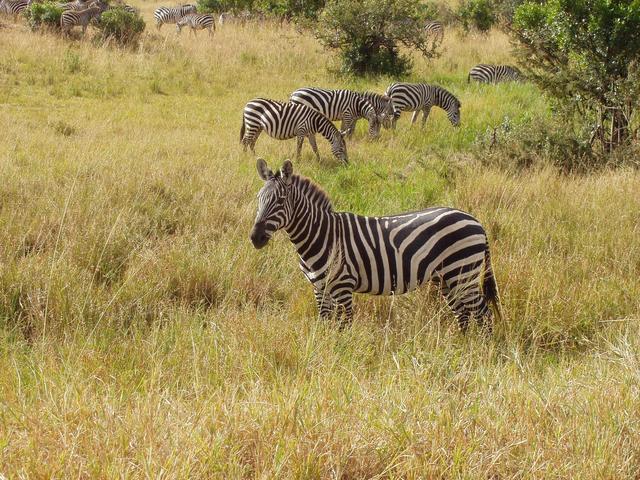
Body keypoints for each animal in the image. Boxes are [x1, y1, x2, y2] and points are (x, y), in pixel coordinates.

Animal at [249, 159, 500, 332]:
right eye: (259, 199)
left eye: (280, 201)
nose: (255, 237)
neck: (321, 236)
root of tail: (475, 220)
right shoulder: (319, 288)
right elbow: (325, 324)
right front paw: (324, 351)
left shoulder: (343, 287)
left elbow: (344, 326)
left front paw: (342, 355)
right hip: (447, 278)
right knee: (463, 314)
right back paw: (462, 346)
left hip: (463, 273)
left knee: (483, 314)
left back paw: (483, 351)